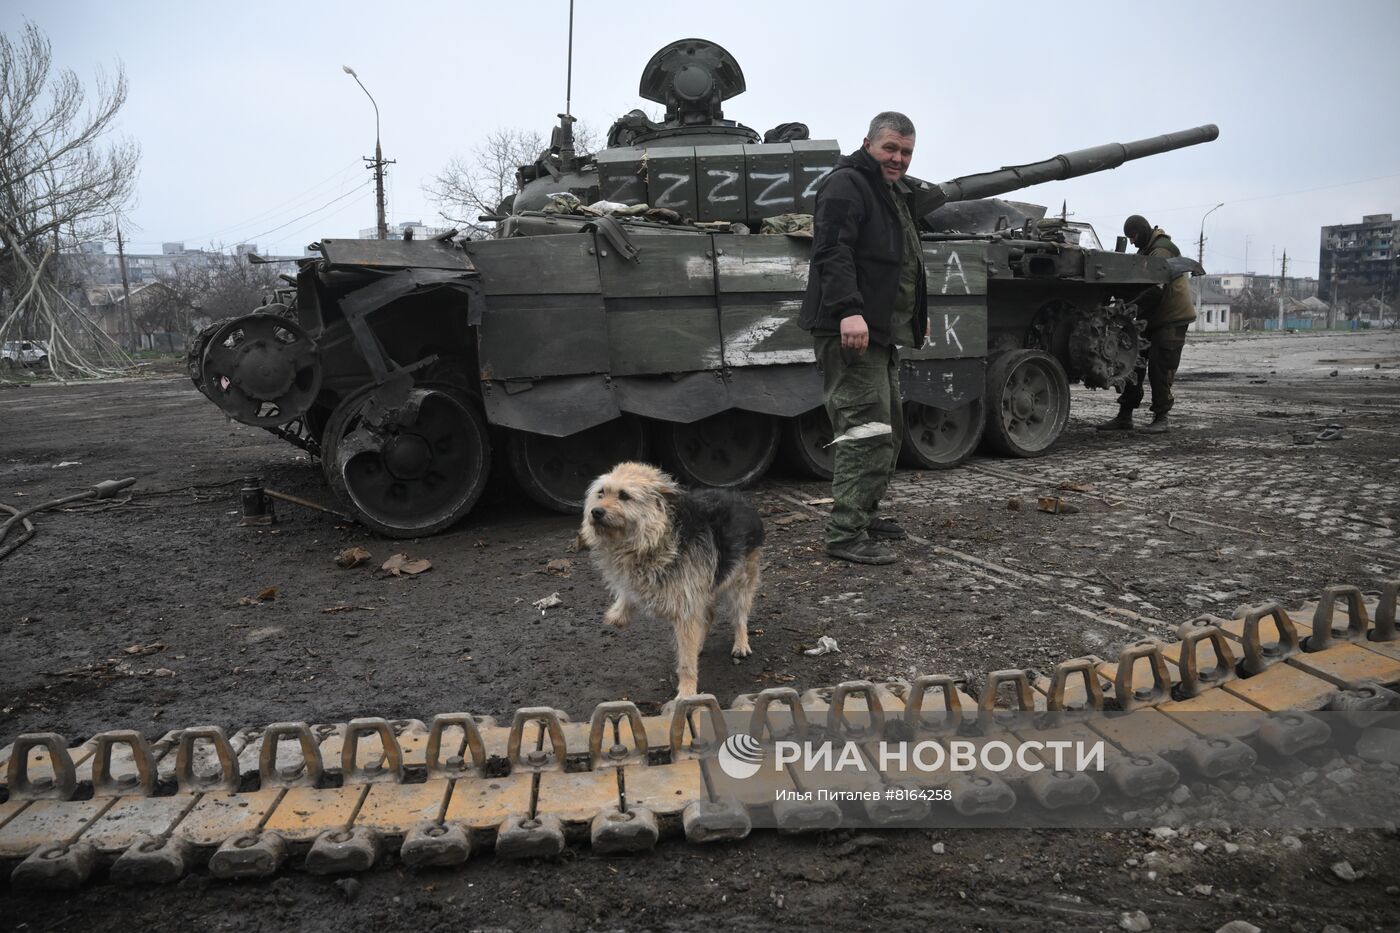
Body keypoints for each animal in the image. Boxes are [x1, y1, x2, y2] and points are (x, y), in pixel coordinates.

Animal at [582, 462, 767, 694]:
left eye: (624, 495)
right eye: (601, 493)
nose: (595, 512)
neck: (656, 537)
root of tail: (741, 499)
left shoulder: (686, 605)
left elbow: (686, 662)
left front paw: (687, 693)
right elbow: (627, 591)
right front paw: (618, 613)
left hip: (740, 580)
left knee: (740, 615)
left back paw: (741, 643)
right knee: (709, 615)